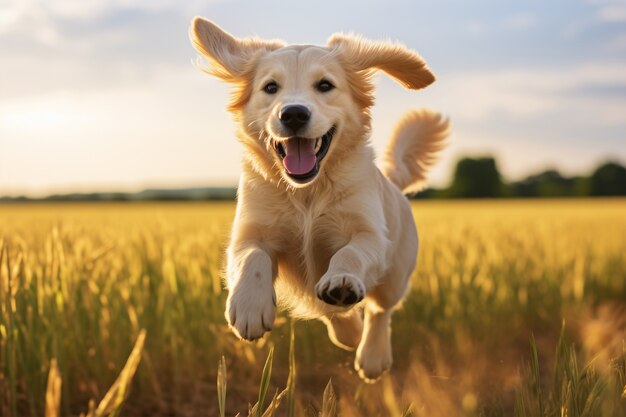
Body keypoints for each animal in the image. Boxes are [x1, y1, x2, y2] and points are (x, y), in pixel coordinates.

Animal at [188, 17, 446, 380]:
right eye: (271, 87)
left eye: (325, 85)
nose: (294, 114)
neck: (307, 192)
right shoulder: (248, 232)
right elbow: (251, 257)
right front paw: (249, 307)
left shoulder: (369, 234)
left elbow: (350, 253)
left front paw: (341, 280)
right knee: (329, 312)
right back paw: (348, 331)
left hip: (396, 273)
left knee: (380, 310)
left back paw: (372, 354)